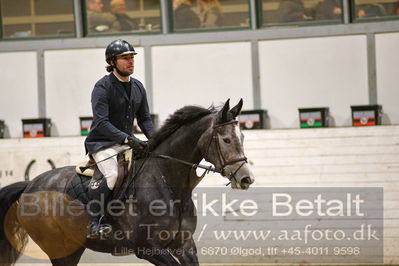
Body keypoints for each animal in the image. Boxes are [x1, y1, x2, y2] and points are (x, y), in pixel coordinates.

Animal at [0, 98, 255, 264]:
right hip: (58, 248)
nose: (246, 178)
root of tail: (29, 185)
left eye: (242, 137)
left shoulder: (184, 245)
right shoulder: (149, 249)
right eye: (226, 139)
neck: (166, 181)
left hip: (73, 249)